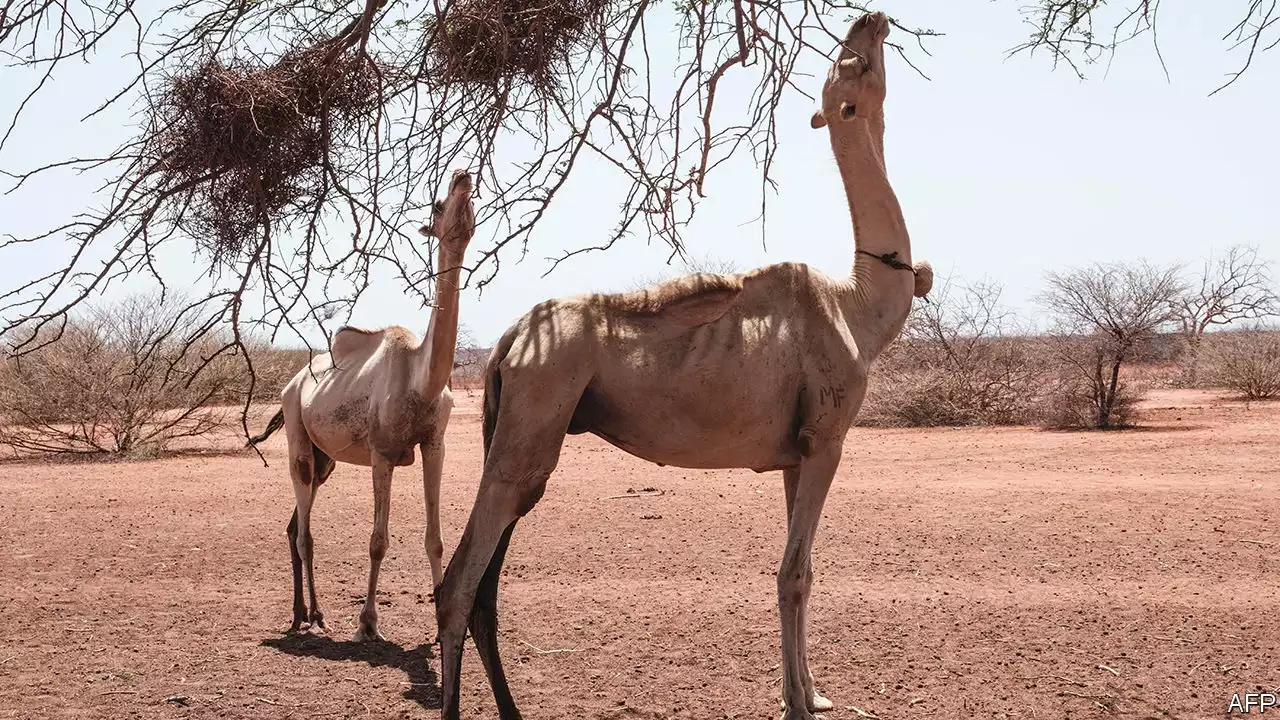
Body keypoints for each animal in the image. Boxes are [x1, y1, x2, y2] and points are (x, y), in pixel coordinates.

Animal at [245, 169, 476, 638]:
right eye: (438, 205)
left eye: (471, 199)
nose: (462, 175)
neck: (420, 379)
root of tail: (291, 384)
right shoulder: (382, 453)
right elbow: (377, 541)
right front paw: (368, 622)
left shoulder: (435, 444)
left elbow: (435, 537)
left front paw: (441, 618)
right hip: (298, 434)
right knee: (304, 532)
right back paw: (313, 617)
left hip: (326, 459)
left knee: (294, 526)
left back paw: (304, 612)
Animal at [430, 11, 931, 717]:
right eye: (850, 64)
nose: (870, 18)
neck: (859, 307)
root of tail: (507, 342)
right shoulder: (827, 439)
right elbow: (793, 573)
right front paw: (798, 703)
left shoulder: (796, 454)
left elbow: (804, 568)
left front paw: (814, 692)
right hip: (535, 416)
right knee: (459, 581)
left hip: (516, 424)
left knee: (483, 586)